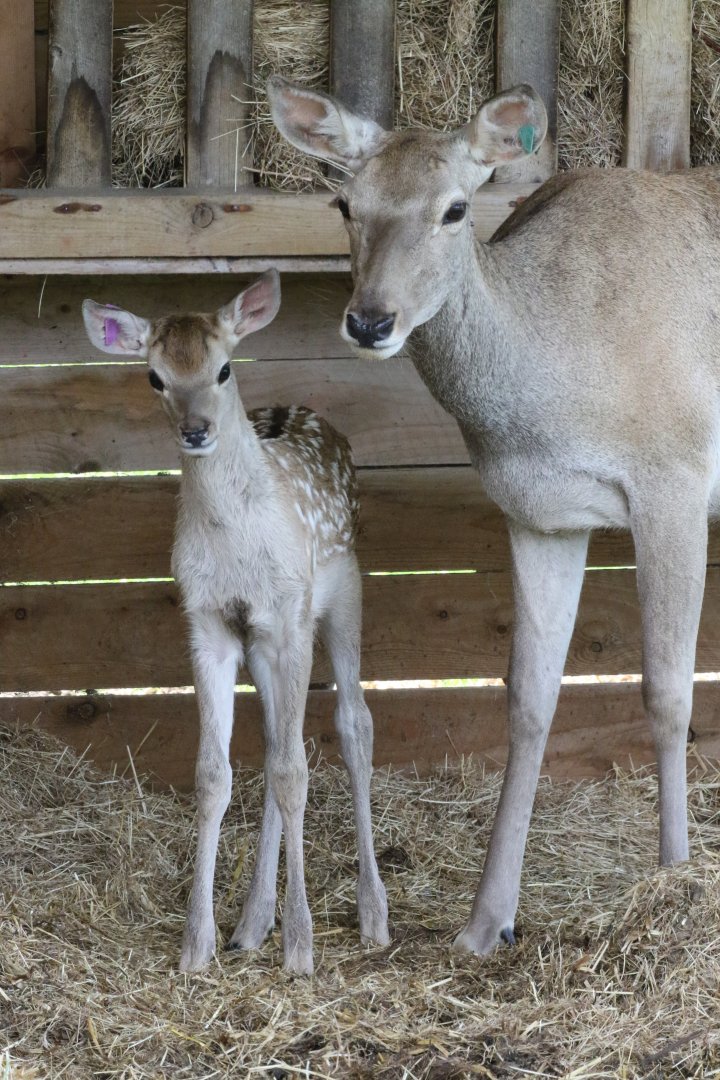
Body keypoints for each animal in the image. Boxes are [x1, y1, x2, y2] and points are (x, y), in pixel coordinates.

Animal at [81, 270, 390, 975]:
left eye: (223, 367)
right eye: (155, 377)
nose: (196, 429)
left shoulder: (290, 612)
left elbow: (295, 772)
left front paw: (301, 949)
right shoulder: (210, 622)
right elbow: (215, 773)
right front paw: (196, 945)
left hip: (343, 589)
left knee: (352, 724)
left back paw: (372, 916)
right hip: (262, 642)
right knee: (278, 740)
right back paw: (251, 923)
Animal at [268, 75, 720, 957]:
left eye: (453, 208)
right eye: (345, 203)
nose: (369, 320)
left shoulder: (677, 476)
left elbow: (667, 693)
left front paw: (675, 884)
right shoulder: (540, 512)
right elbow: (527, 697)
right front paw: (486, 920)